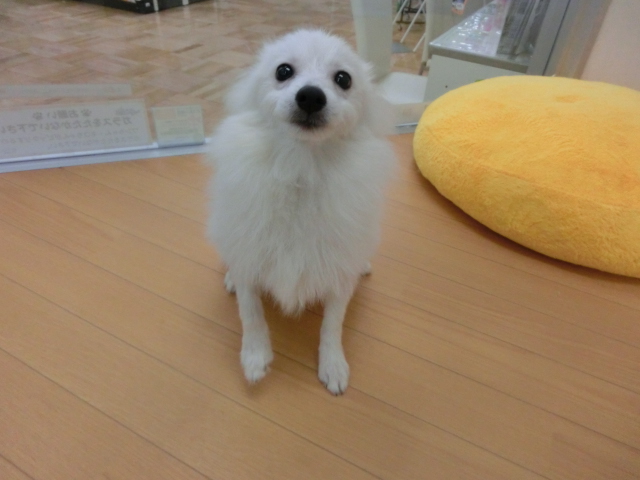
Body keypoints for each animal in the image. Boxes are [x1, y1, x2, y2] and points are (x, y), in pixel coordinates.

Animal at [207, 29, 396, 394]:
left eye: (343, 79)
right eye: (283, 71)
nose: (311, 96)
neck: (301, 169)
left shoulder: (339, 271)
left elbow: (333, 324)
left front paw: (333, 364)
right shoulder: (250, 250)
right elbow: (250, 312)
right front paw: (255, 356)